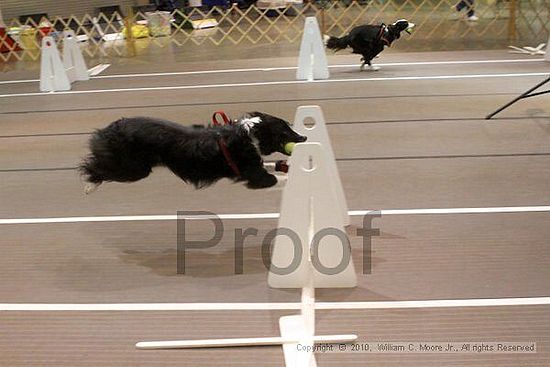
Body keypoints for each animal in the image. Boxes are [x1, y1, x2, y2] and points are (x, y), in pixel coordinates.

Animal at [80, 112, 308, 193]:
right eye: (285, 131)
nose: (304, 138)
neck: (250, 135)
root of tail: (111, 127)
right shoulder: (254, 175)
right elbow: (274, 178)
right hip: (135, 169)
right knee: (95, 167)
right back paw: (89, 185)